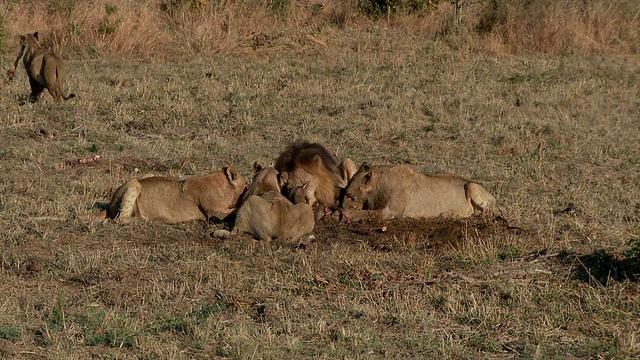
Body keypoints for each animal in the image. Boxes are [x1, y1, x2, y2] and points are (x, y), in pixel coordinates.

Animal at [85, 167, 245, 224]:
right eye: (245, 187)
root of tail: (110, 204)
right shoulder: (215, 211)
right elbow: (235, 210)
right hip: (133, 183)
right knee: (119, 218)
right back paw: (144, 220)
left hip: (148, 174)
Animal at [338, 162, 498, 221]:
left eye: (350, 196)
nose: (340, 206)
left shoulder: (391, 211)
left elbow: (369, 213)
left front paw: (344, 214)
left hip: (472, 186)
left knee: (488, 212)